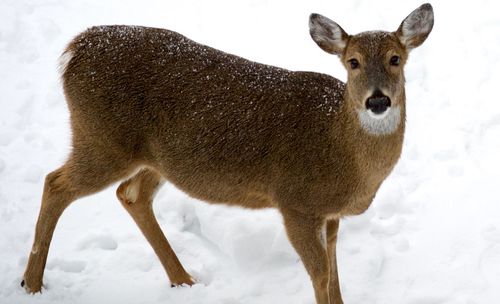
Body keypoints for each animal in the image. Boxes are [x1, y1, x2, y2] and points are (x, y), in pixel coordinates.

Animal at [20, 2, 434, 304]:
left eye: (396, 59)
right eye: (353, 62)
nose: (377, 100)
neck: (340, 148)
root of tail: (75, 48)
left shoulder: (329, 213)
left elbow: (333, 273)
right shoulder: (294, 201)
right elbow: (320, 274)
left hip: (155, 157)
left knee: (131, 194)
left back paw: (184, 280)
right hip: (101, 139)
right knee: (55, 183)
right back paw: (32, 284)